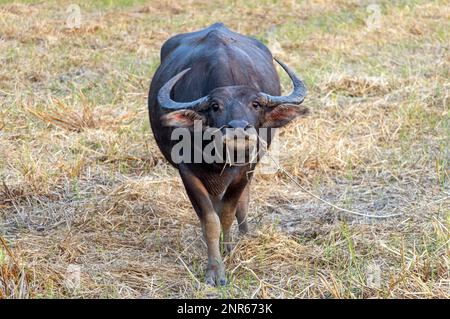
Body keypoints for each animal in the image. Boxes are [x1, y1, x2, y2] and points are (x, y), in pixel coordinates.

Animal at [149, 23, 308, 288]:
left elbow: (227, 212)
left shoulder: (244, 170)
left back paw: (244, 235)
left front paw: (229, 249)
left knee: (242, 202)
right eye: (215, 106)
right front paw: (215, 271)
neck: (218, 156)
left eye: (256, 104)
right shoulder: (187, 172)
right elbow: (210, 220)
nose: (238, 129)